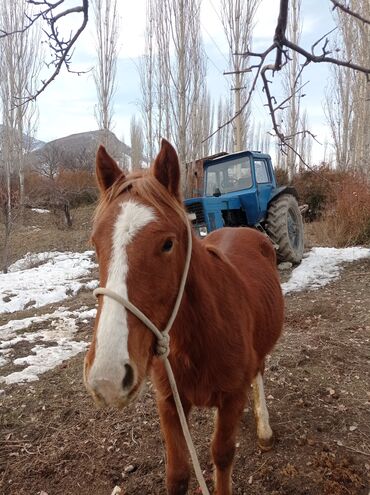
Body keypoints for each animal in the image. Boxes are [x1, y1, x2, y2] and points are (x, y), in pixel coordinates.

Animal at [84, 140, 284, 495]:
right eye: (96, 242)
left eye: (167, 244)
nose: (108, 376)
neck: (200, 335)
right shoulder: (169, 401)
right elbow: (177, 473)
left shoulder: (232, 397)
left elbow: (222, 455)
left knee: (259, 371)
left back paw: (264, 430)